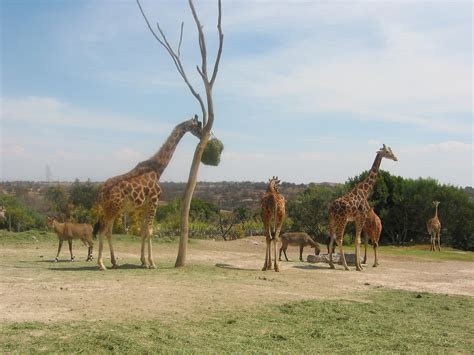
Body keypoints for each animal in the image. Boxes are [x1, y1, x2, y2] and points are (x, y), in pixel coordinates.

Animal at [94, 116, 202, 270]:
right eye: (199, 125)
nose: (207, 135)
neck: (158, 169)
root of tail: (100, 192)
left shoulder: (145, 206)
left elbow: (143, 231)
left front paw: (144, 261)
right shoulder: (154, 202)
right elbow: (150, 231)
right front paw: (152, 263)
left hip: (112, 209)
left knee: (108, 232)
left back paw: (114, 262)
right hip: (112, 209)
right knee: (102, 231)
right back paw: (101, 264)